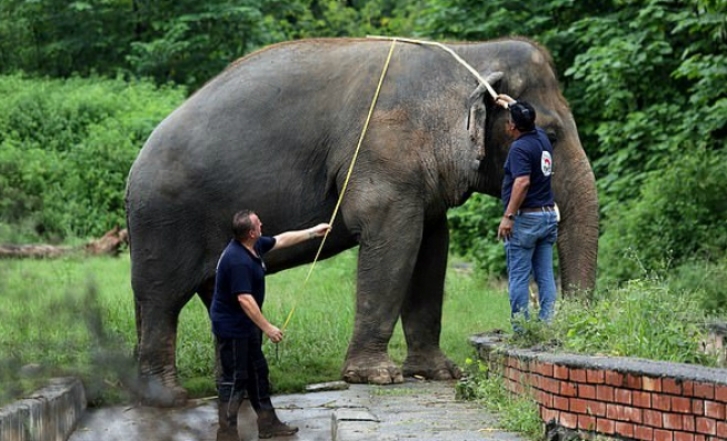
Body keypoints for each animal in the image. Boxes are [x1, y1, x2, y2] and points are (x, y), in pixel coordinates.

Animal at [128, 37, 600, 406]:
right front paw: (378, 377)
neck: (468, 54)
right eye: (551, 135)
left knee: (212, 301)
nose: (566, 328)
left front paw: (438, 373)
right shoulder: (383, 156)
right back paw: (169, 398)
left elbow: (431, 249)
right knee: (161, 300)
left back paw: (230, 390)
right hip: (163, 223)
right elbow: (395, 240)